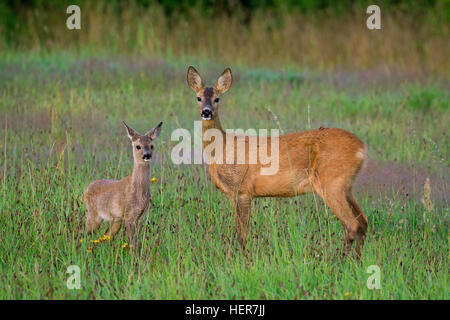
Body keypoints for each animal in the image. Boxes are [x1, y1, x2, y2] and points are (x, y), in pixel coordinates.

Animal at [83, 120, 163, 248]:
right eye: (138, 146)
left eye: (152, 146)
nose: (147, 155)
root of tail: (86, 189)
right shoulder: (129, 215)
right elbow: (133, 244)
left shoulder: (140, 217)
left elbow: (137, 243)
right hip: (94, 214)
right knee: (82, 233)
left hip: (116, 220)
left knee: (106, 236)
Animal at [186, 67, 370, 258]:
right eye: (198, 97)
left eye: (217, 98)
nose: (206, 112)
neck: (221, 148)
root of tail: (362, 148)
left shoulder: (243, 189)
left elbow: (242, 233)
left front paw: (244, 259)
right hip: (346, 186)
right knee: (363, 221)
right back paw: (357, 259)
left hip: (331, 182)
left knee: (352, 224)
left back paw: (340, 261)